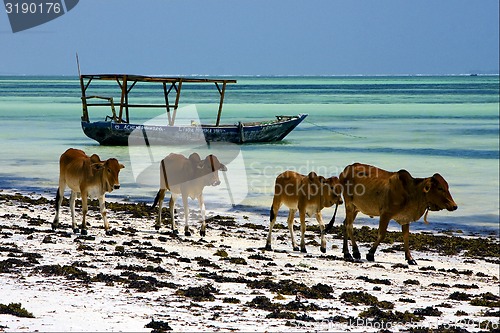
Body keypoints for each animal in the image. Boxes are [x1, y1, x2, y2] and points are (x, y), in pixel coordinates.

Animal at [330, 162, 458, 264]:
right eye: (440, 188)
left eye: (447, 187)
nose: (454, 206)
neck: (411, 192)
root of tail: (346, 169)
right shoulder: (385, 214)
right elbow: (381, 235)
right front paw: (370, 254)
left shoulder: (405, 218)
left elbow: (406, 237)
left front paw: (410, 258)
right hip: (349, 205)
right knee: (349, 226)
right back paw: (355, 252)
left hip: (356, 208)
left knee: (345, 224)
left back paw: (346, 252)